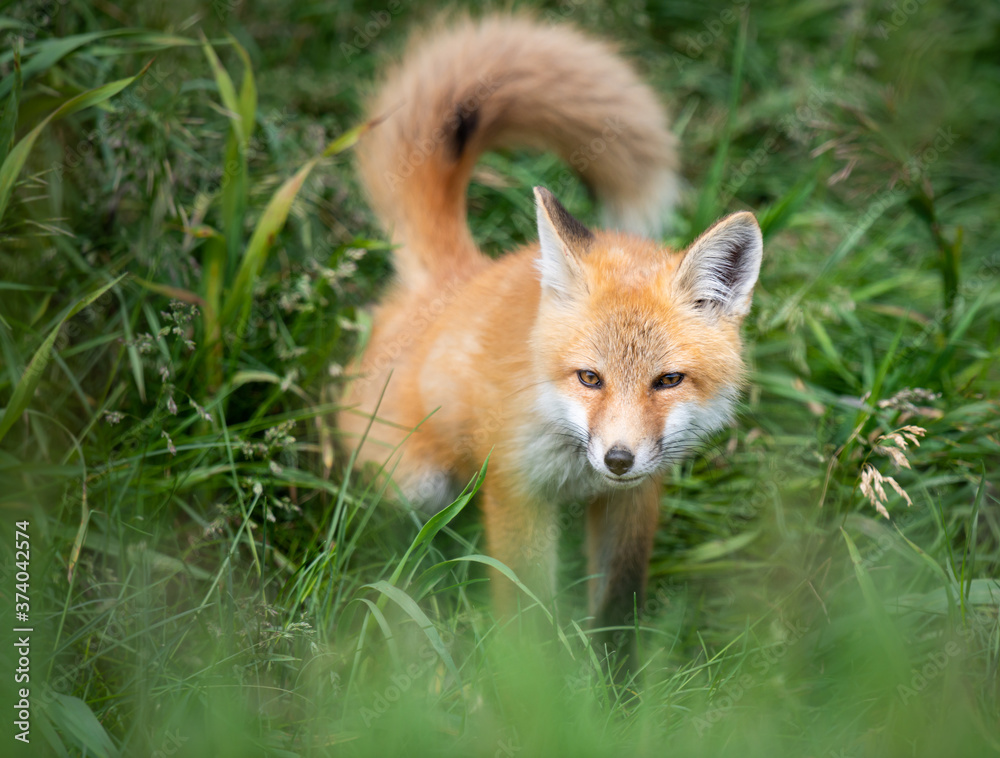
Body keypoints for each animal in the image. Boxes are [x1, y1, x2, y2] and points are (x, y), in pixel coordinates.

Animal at [337, 14, 763, 669]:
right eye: (589, 377)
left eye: (668, 380)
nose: (618, 459)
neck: (577, 471)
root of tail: (454, 278)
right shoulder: (516, 491)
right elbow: (527, 619)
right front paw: (532, 688)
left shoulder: (632, 501)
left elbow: (617, 610)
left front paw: (617, 687)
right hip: (417, 483)